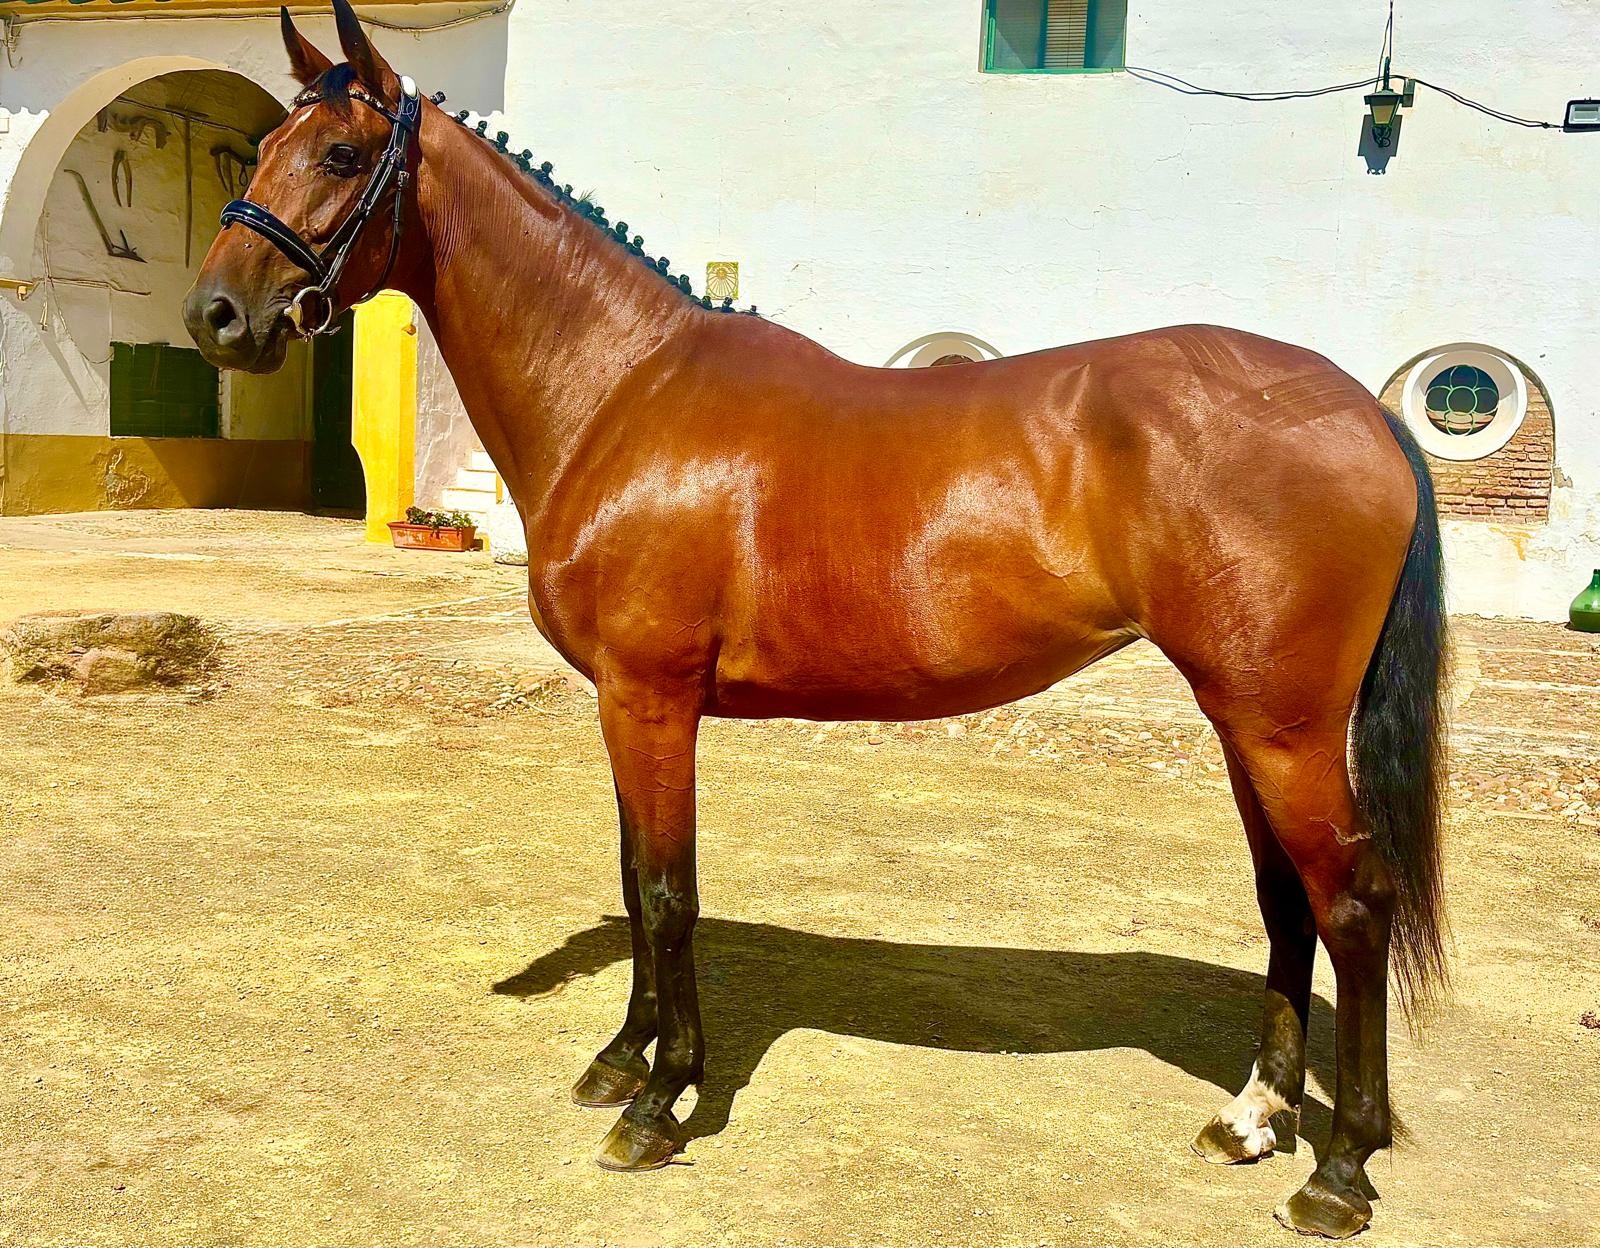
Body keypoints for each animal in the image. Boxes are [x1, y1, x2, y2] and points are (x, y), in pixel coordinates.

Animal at [184, 4, 1448, 1236]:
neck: (621, 391)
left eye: (341, 155)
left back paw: (1339, 1172)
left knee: (1352, 905)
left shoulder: (650, 697)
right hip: (1245, 718)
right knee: (1287, 903)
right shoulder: (623, 705)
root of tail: (1357, 408)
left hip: (1283, 727)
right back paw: (1250, 1121)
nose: (217, 317)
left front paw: (657, 1103)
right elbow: (635, 874)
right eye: (262, 145)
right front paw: (619, 1059)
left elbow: (667, 893)